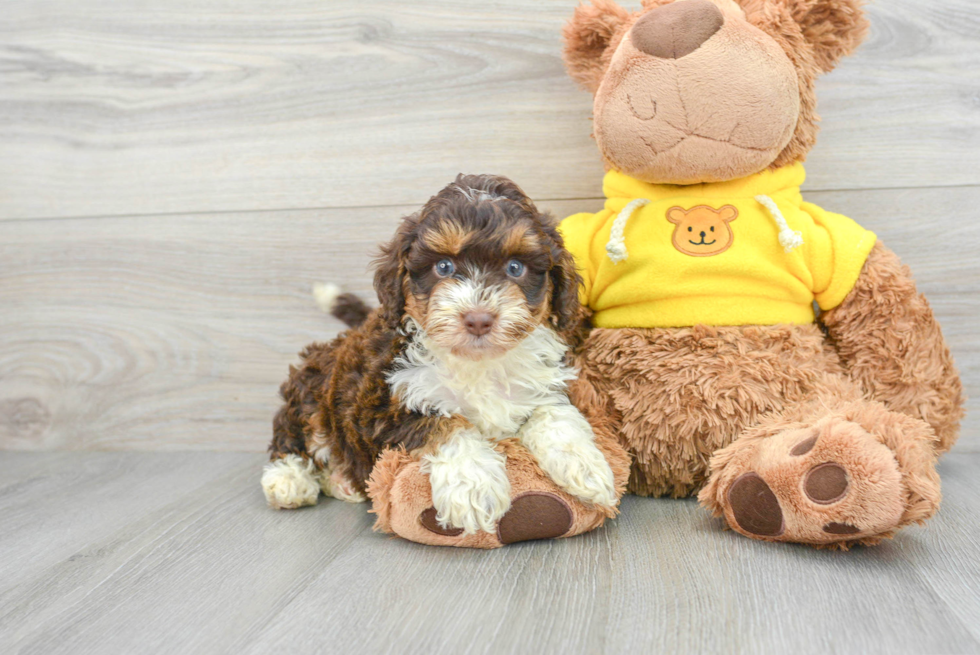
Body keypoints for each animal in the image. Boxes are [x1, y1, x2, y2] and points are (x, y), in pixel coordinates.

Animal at [260, 176, 612, 540]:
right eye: (443, 267)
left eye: (515, 268)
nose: (478, 319)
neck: (477, 363)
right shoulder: (381, 407)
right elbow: (444, 423)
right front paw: (474, 486)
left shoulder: (543, 384)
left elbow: (554, 413)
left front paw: (584, 464)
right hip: (313, 387)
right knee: (293, 433)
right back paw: (288, 479)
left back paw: (342, 483)